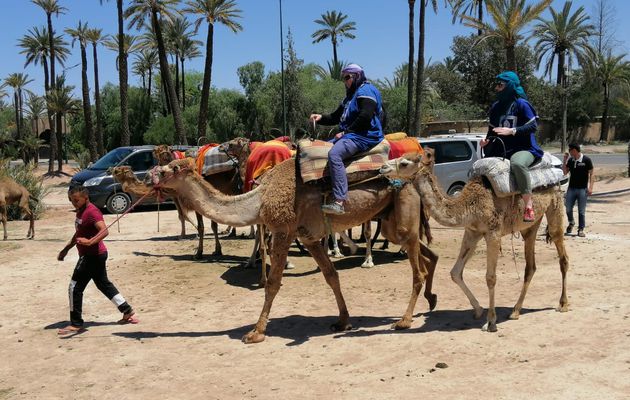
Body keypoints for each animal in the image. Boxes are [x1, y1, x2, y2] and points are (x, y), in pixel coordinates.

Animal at [153, 157, 440, 344]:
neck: (259, 199)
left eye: (170, 169)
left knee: (418, 271)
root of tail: (415, 179)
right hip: (392, 221)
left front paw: (256, 332)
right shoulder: (309, 237)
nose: (150, 175)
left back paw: (404, 320)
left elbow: (273, 283)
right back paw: (432, 299)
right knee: (427, 253)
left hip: (402, 215)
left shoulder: (283, 231)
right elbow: (331, 276)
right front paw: (343, 320)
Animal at [380, 148, 572, 332]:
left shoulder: (493, 232)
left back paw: (563, 304)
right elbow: (455, 272)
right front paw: (479, 310)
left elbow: (490, 277)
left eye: (404, 163)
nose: (382, 168)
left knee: (562, 254)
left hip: (555, 205)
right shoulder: (472, 231)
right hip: (529, 227)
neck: (469, 204)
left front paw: (491, 322)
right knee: (530, 266)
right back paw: (516, 311)